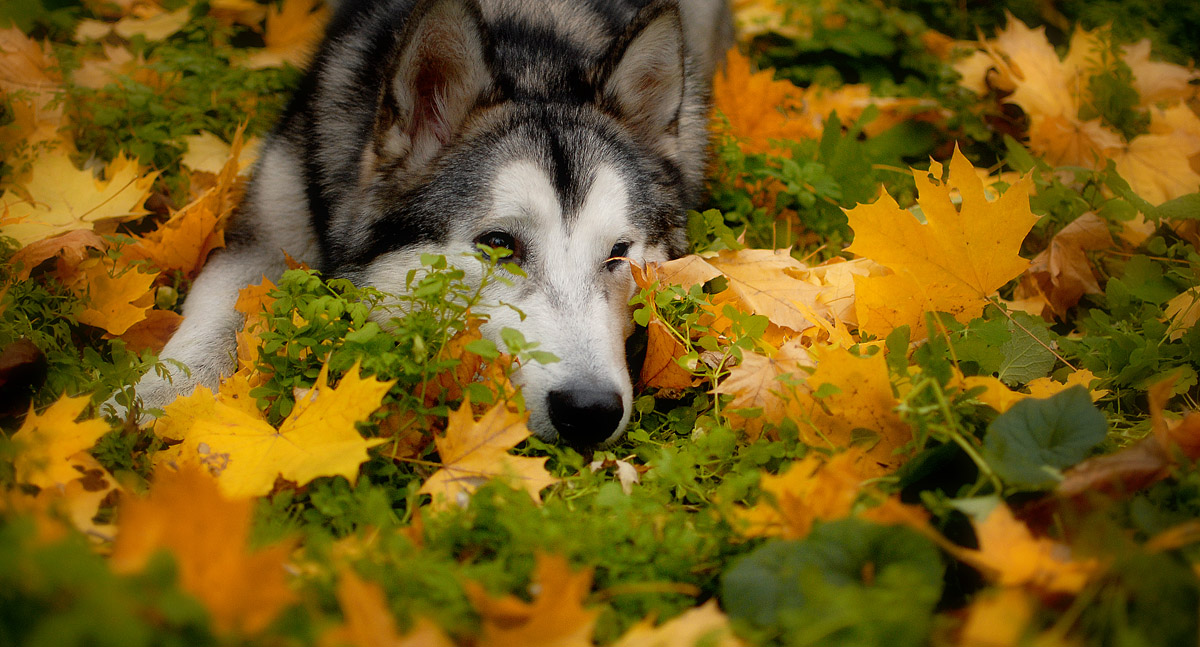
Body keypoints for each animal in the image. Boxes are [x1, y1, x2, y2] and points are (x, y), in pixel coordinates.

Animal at [129, 0, 729, 448]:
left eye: (619, 254)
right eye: (498, 244)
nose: (590, 410)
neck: (532, 55)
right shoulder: (263, 235)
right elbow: (215, 318)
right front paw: (148, 405)